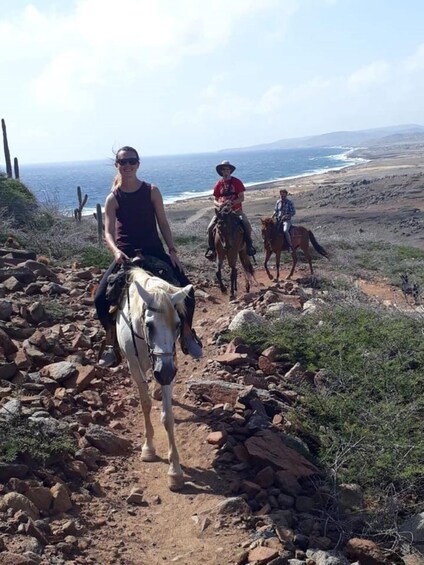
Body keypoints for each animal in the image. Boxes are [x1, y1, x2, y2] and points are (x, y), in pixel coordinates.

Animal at [114, 266, 190, 490]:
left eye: (178, 324)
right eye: (149, 325)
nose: (164, 373)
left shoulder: (169, 366)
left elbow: (168, 416)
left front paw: (175, 470)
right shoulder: (134, 365)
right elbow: (145, 404)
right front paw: (148, 449)